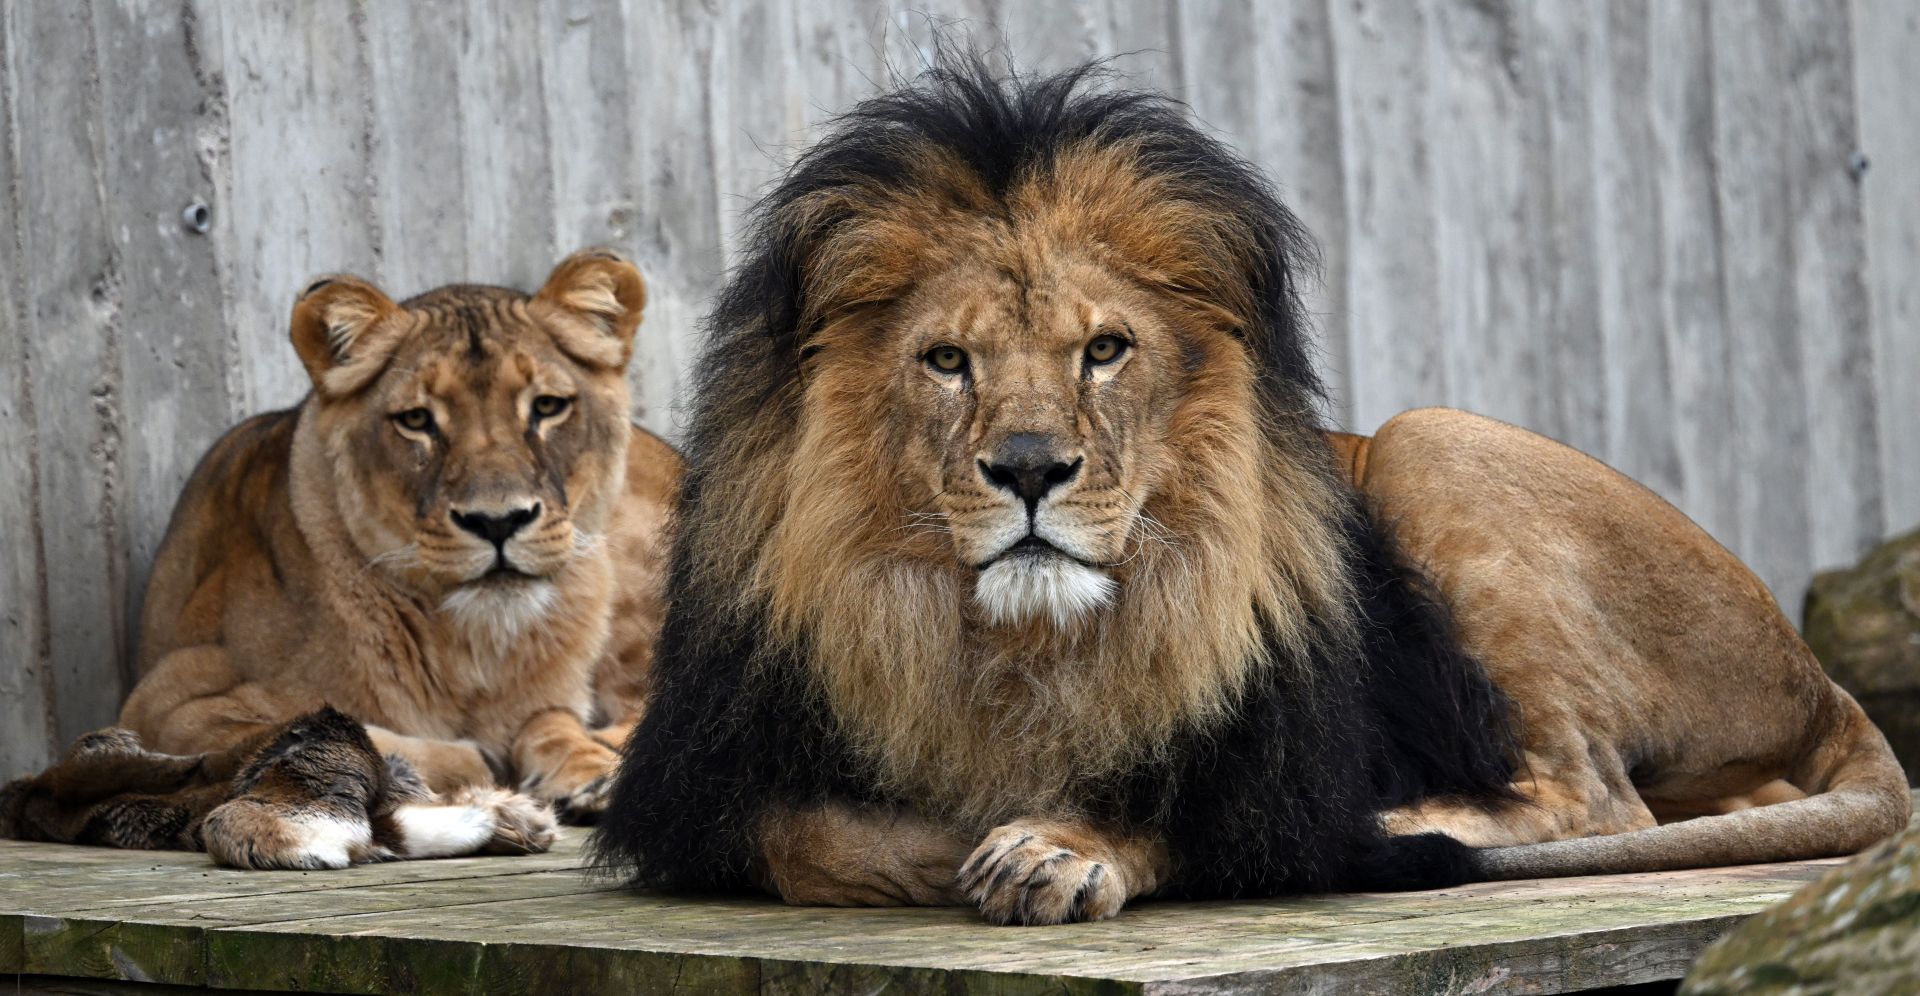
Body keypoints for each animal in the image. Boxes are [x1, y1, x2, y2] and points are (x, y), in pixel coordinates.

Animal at [116, 249, 679, 825]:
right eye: (416, 419)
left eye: (546, 406)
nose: (497, 522)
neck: (478, 652)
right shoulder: (168, 700)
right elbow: (341, 730)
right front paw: (484, 763)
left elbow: (550, 720)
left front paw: (587, 768)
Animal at [595, 64, 1904, 928]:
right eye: (948, 360)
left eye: (1104, 351)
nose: (1030, 469)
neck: (1008, 649)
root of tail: (1818, 675)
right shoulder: (716, 784)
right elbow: (816, 831)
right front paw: (975, 834)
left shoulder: (1258, 762)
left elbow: (1205, 814)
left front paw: (1056, 846)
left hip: (1432, 440)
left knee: (1600, 802)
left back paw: (1396, 829)